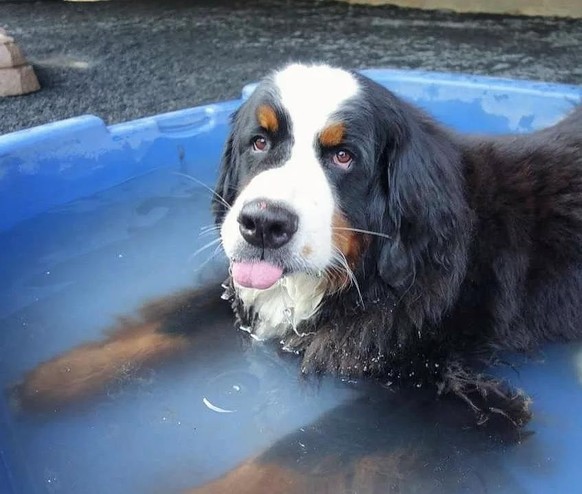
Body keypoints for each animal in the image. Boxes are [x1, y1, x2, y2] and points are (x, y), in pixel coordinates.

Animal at [12, 63, 582, 434]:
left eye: (344, 156)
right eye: (259, 142)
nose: (262, 224)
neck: (364, 271)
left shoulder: (430, 382)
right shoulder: (243, 292)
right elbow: (169, 320)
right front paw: (49, 378)